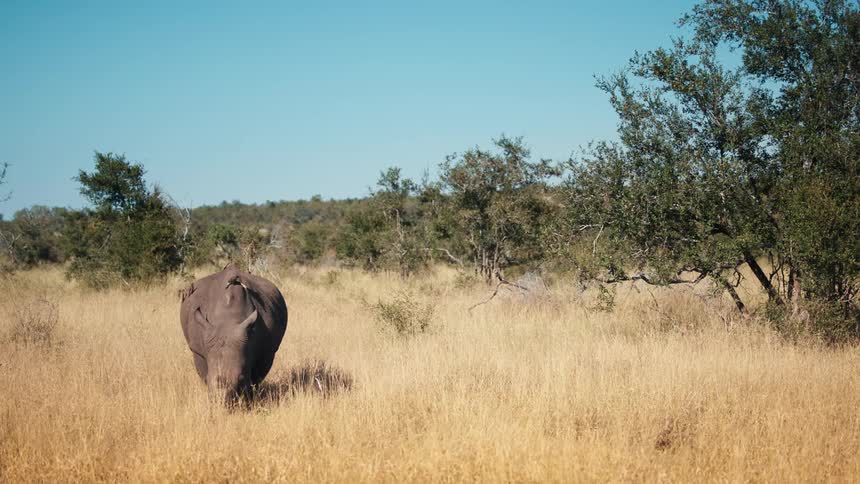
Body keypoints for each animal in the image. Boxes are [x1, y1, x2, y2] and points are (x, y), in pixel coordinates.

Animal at [180, 264, 288, 404]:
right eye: (209, 378)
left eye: (241, 378)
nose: (222, 401)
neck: (228, 320)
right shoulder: (198, 348)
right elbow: (203, 372)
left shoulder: (266, 351)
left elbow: (257, 377)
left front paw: (249, 401)